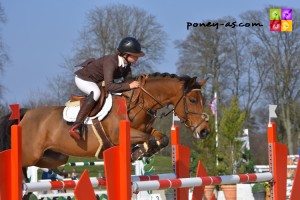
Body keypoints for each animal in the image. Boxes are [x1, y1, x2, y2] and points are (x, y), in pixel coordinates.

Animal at [0, 72, 210, 169]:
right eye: (192, 100)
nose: (205, 131)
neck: (138, 103)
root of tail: (27, 113)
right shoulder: (120, 135)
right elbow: (147, 139)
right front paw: (139, 151)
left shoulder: (146, 129)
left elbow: (161, 138)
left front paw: (143, 151)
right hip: (30, 154)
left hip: (54, 156)